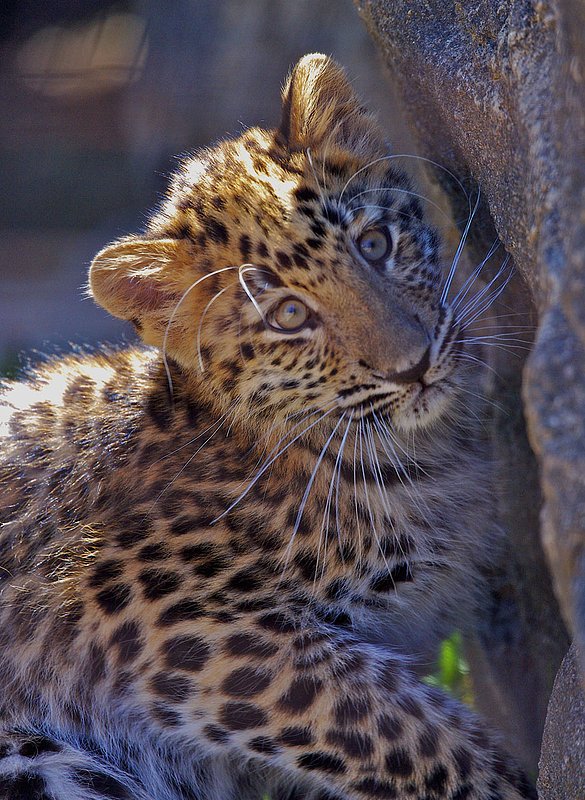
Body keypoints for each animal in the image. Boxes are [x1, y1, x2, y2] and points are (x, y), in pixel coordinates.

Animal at [0, 53, 536, 800]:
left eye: (375, 244)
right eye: (288, 317)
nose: (414, 366)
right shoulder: (160, 622)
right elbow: (397, 727)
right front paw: (503, 782)